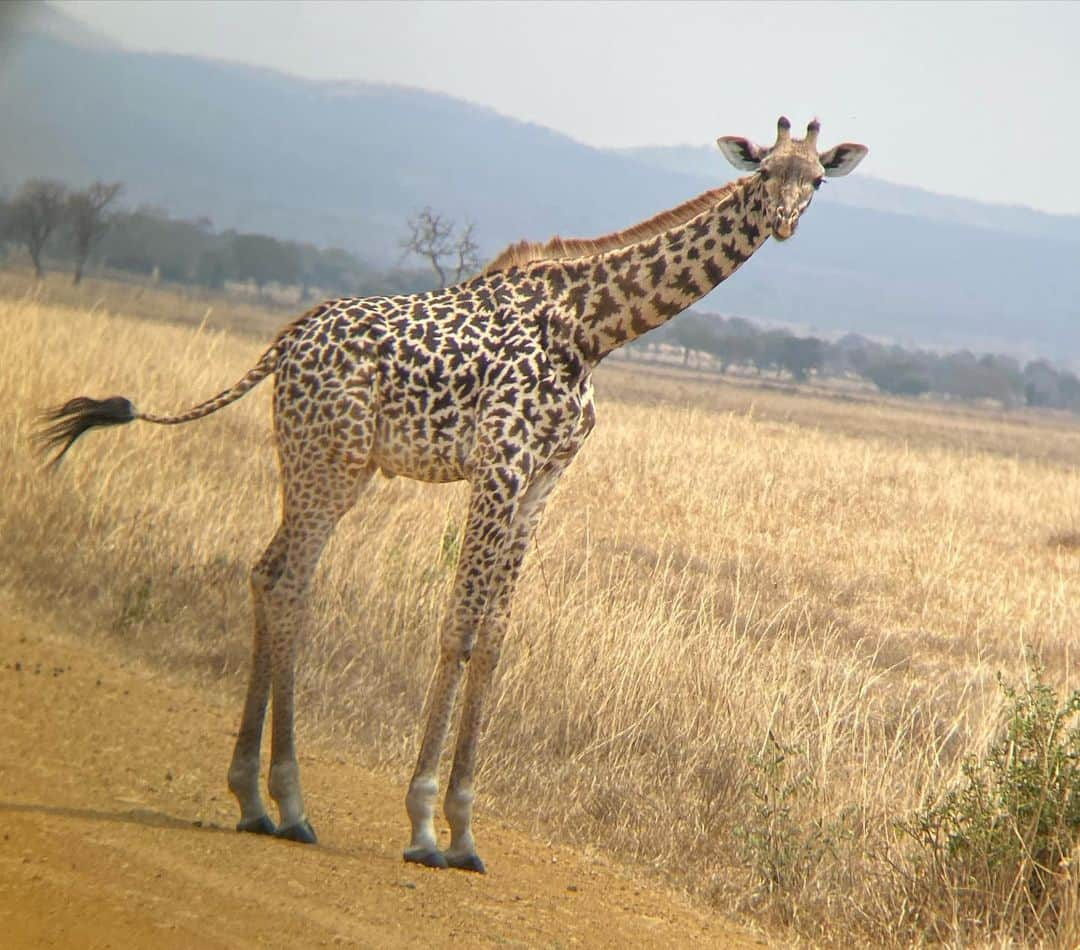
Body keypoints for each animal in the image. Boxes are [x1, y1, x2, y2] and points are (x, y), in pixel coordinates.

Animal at [35, 114, 868, 872]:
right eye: (765, 172)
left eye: (817, 181)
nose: (785, 221)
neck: (591, 329)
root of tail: (285, 343)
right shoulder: (498, 463)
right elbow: (458, 627)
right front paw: (424, 826)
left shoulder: (541, 482)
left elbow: (495, 634)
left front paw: (467, 832)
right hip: (327, 460)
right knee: (288, 581)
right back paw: (288, 803)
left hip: (326, 463)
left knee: (273, 573)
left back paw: (256, 801)